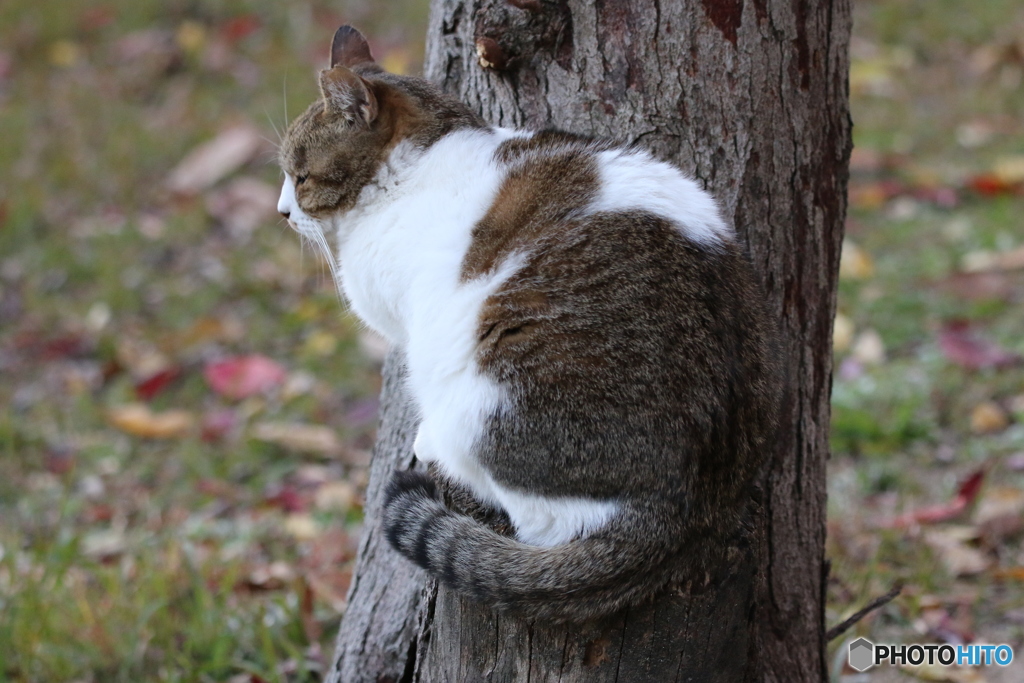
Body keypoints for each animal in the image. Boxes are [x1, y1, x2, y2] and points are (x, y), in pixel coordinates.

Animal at [276, 25, 778, 626]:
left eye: (300, 176)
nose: (282, 211)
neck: (421, 159)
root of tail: (689, 511)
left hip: (487, 394)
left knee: (533, 517)